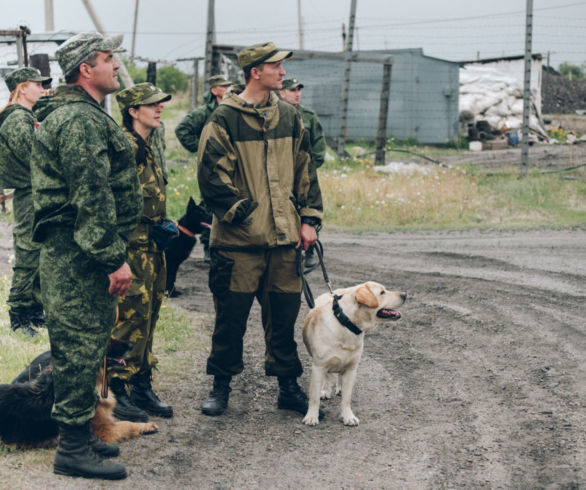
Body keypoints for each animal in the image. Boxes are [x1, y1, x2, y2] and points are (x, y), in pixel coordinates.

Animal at [302, 282, 402, 426]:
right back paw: (326, 390)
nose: (405, 295)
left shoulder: (351, 369)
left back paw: (339, 388)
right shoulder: (318, 366)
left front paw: (348, 416)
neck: (346, 324)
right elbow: (314, 397)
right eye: (382, 292)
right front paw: (311, 416)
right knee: (328, 376)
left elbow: (347, 399)